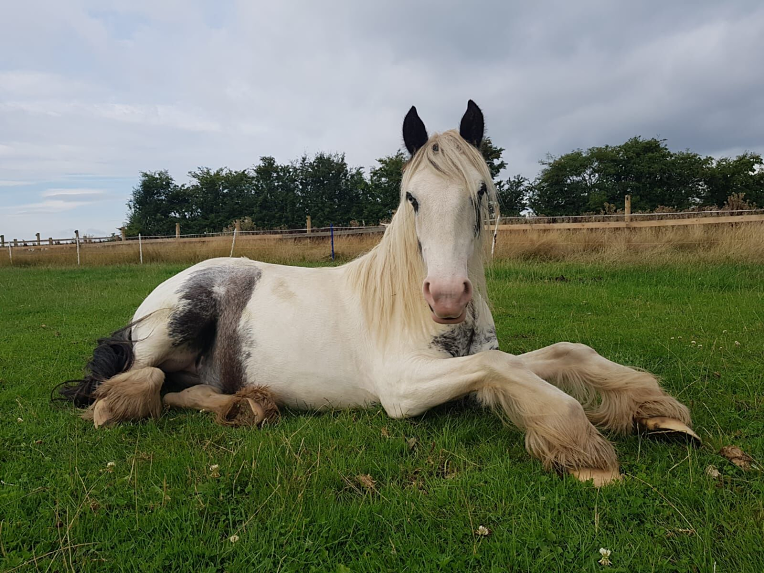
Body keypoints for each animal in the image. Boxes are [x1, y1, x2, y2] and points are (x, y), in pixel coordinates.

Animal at [59, 101, 700, 482]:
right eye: (411, 197)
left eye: (481, 191)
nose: (447, 298)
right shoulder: (403, 387)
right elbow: (509, 372)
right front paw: (582, 448)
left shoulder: (471, 365)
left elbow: (561, 355)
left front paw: (657, 412)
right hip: (175, 324)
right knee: (135, 381)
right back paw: (121, 405)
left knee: (181, 390)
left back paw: (249, 405)